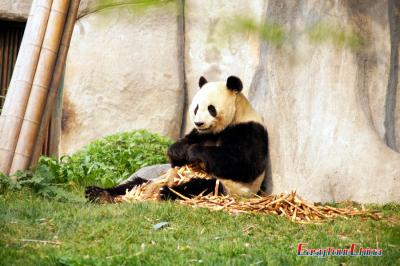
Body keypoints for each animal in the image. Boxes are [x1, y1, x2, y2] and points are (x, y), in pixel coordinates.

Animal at [86, 75, 268, 202]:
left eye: (211, 109)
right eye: (196, 108)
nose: (199, 122)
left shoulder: (249, 130)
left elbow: (243, 164)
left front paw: (194, 152)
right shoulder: (200, 134)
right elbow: (179, 155)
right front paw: (179, 151)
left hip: (227, 188)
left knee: (200, 186)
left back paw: (166, 192)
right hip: (154, 178)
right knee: (134, 183)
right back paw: (98, 193)